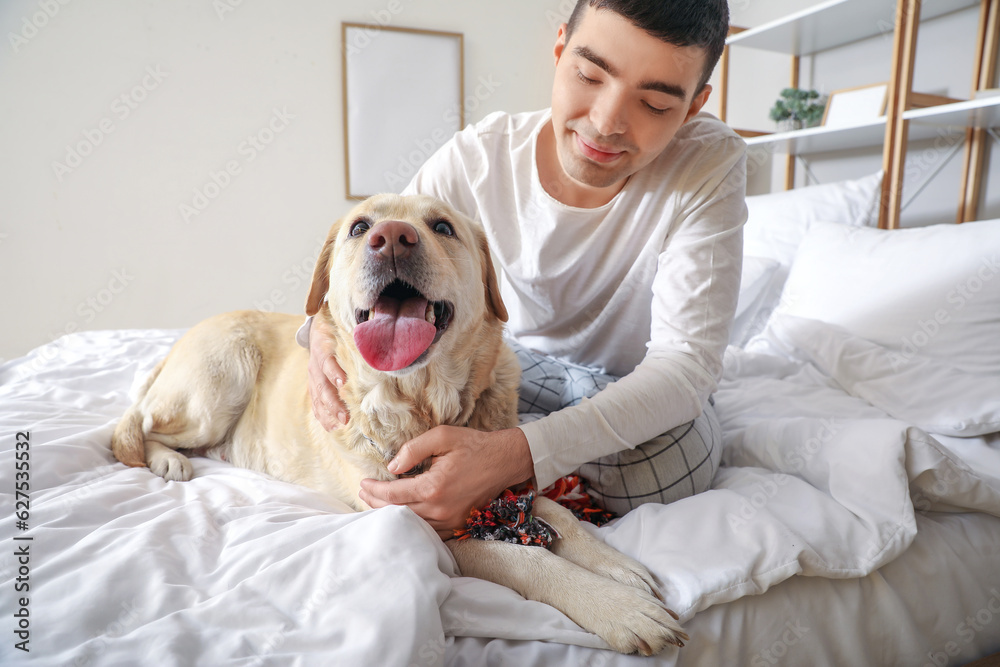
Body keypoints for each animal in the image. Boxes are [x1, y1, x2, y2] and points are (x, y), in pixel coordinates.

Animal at [109, 194, 688, 656]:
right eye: (360, 226)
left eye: (443, 226)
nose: (391, 239)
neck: (422, 405)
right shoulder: (431, 523)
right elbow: (525, 559)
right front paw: (619, 608)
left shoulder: (499, 476)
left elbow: (556, 514)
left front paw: (614, 565)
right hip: (218, 387)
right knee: (131, 427)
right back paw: (168, 460)